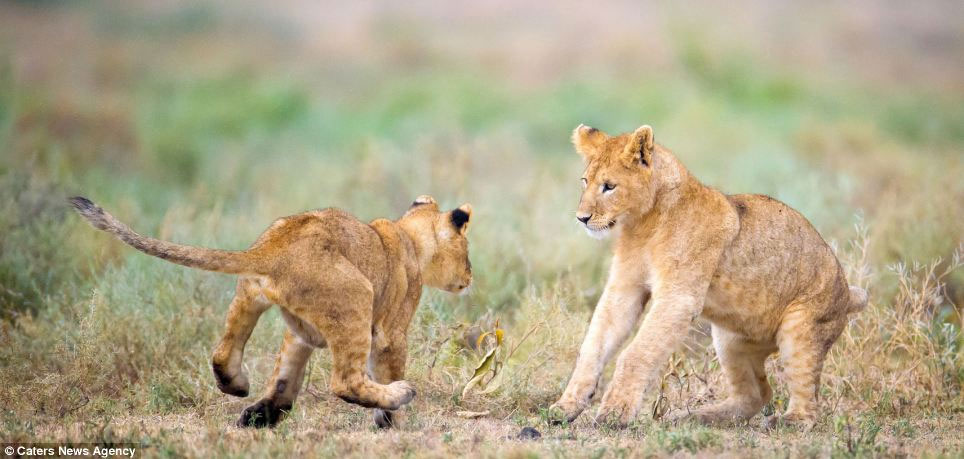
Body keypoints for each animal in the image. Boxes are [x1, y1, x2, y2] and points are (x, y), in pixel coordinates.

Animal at [69, 195, 473, 429]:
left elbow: (286, 375)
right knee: (345, 381)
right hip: (356, 298)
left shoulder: (300, 332)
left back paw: (239, 390)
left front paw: (267, 412)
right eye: (467, 254)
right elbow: (386, 366)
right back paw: (400, 394)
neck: (410, 239)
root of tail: (275, 249)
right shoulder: (391, 332)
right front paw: (392, 423)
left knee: (221, 351)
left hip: (249, 294)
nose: (471, 277)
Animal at [549, 124, 867, 429]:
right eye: (585, 181)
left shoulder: (679, 297)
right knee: (756, 395)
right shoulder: (625, 288)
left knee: (808, 399)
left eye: (609, 186)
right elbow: (593, 347)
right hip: (729, 341)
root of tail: (848, 293)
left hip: (802, 328)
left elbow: (636, 353)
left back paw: (789, 421)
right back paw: (694, 417)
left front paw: (615, 414)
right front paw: (566, 407)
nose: (582, 218)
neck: (642, 225)